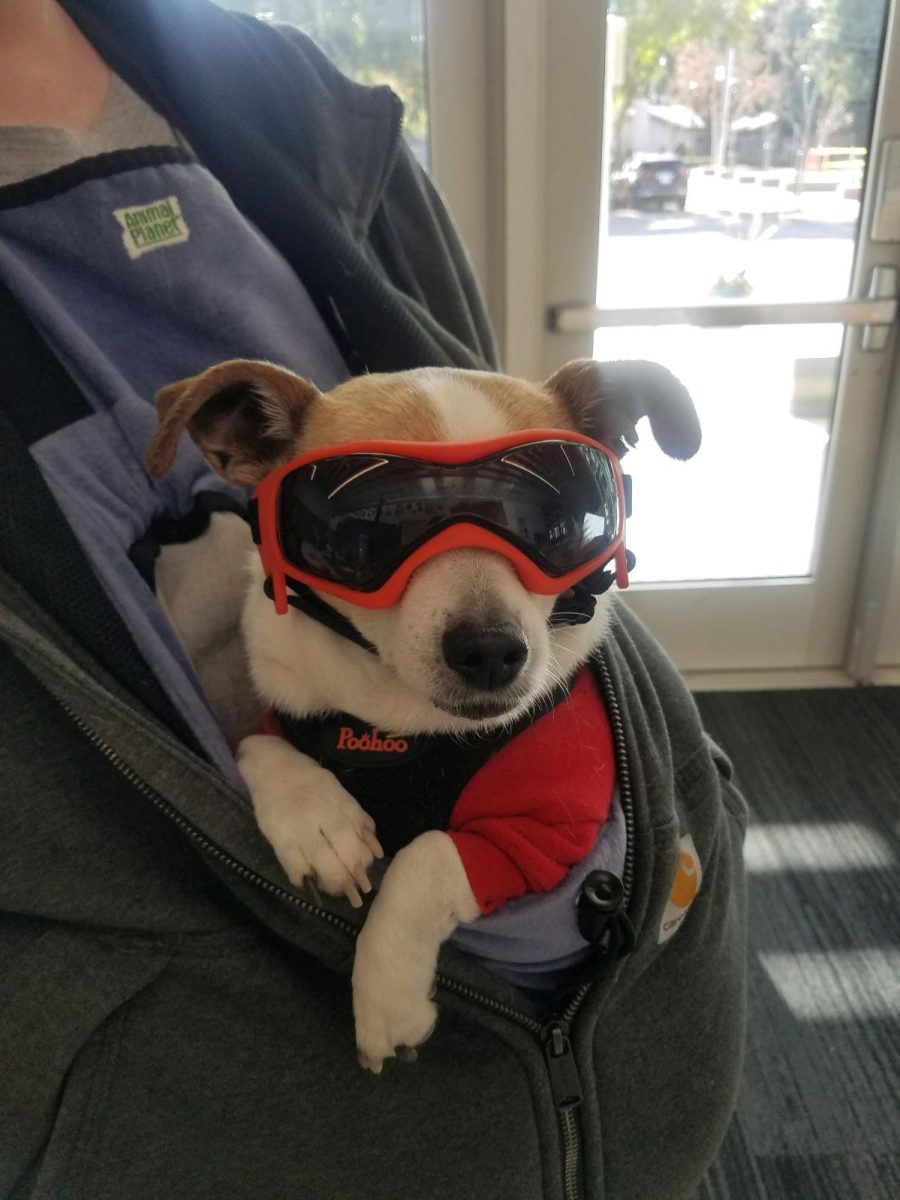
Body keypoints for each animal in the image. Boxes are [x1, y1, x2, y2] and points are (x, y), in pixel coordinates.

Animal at [148, 355, 700, 1070]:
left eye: (553, 523)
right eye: (364, 537)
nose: (491, 650)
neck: (409, 723)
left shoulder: (537, 838)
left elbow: (426, 857)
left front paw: (387, 999)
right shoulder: (283, 714)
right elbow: (257, 746)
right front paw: (319, 825)